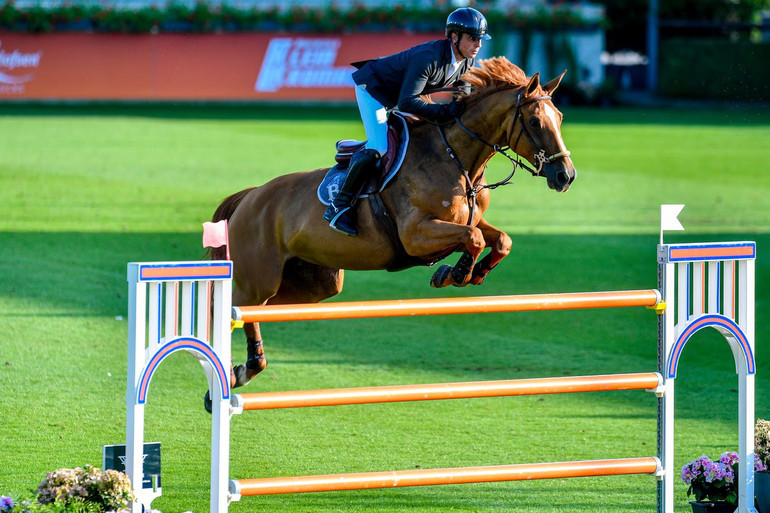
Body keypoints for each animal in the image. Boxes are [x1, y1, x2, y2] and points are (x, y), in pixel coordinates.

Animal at [207, 56, 572, 390]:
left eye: (560, 118)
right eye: (535, 121)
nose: (566, 176)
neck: (455, 158)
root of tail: (250, 198)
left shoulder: (468, 219)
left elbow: (498, 240)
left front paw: (472, 273)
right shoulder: (415, 234)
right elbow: (474, 238)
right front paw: (453, 274)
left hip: (314, 283)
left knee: (257, 311)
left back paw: (244, 368)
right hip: (260, 278)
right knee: (236, 307)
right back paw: (228, 373)